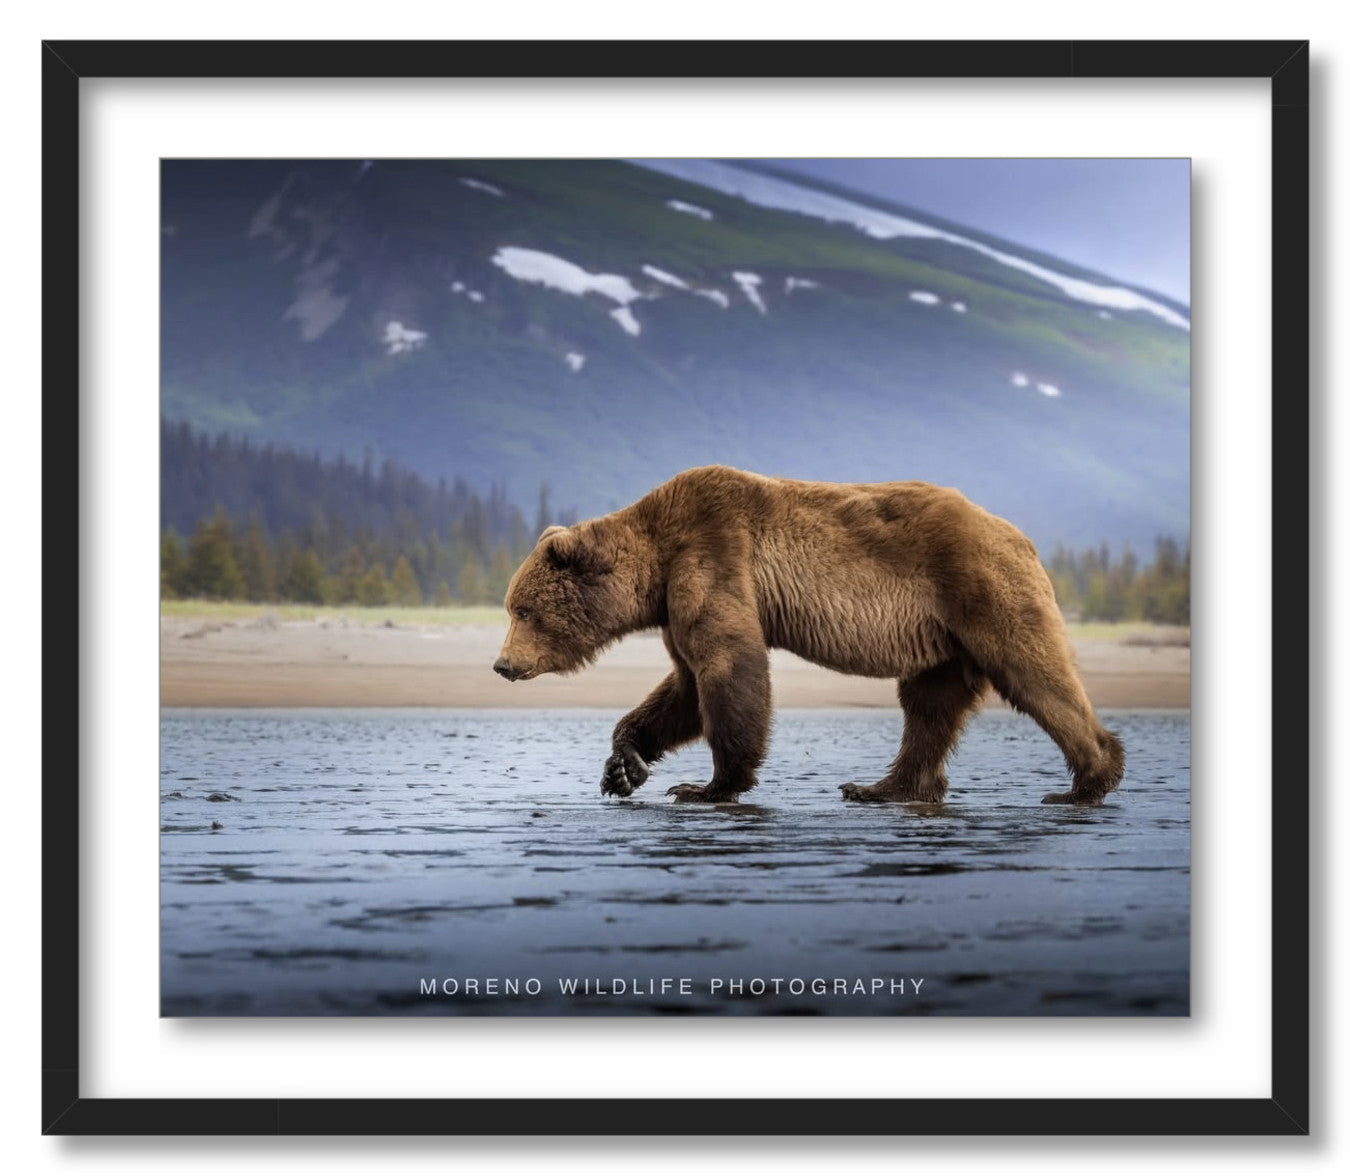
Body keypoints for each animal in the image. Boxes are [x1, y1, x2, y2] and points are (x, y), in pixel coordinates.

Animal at [493, 465, 1125, 806]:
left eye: (522, 610)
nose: (501, 665)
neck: (655, 560)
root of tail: (1020, 535)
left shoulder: (712, 554)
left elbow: (728, 668)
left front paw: (708, 785)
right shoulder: (676, 600)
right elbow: (684, 686)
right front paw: (624, 767)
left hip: (980, 590)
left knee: (1033, 673)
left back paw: (1087, 781)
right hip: (943, 637)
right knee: (929, 706)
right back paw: (881, 787)